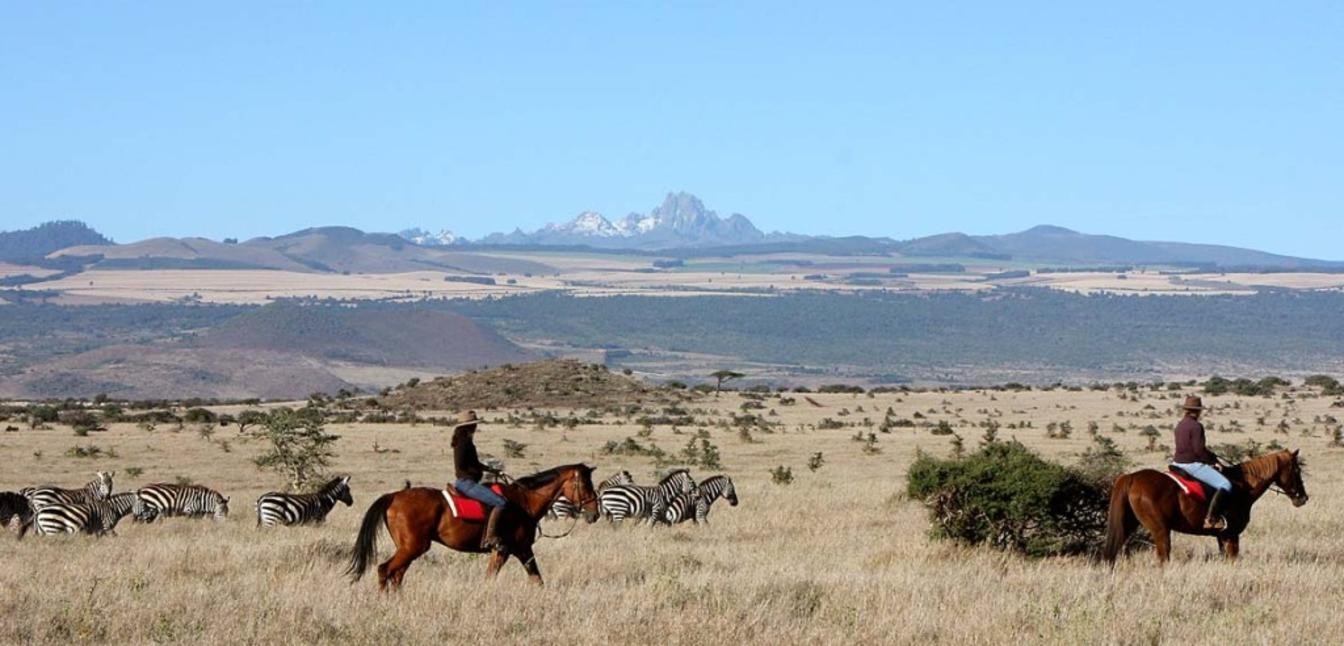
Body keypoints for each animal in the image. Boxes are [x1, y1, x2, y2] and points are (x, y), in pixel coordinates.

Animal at [346, 462, 599, 585]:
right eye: (586, 485)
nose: (594, 514)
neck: (524, 502)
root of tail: (394, 496)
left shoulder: (517, 550)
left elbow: (536, 579)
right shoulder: (509, 549)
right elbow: (495, 578)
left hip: (408, 548)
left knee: (396, 574)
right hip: (413, 547)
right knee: (385, 570)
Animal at [1102, 448, 1311, 564]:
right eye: (1296, 470)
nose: (1303, 498)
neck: (1242, 486)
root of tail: (1132, 477)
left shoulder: (1222, 536)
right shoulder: (1232, 534)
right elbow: (1233, 559)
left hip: (1129, 524)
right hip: (1160, 530)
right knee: (1163, 558)